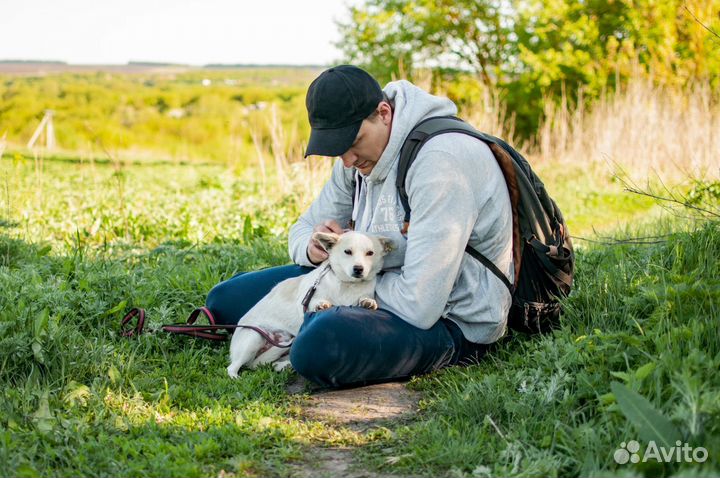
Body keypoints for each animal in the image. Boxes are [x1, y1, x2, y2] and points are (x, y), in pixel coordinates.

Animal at [226, 230, 390, 380]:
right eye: (347, 252)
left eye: (370, 253)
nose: (358, 269)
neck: (348, 285)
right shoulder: (307, 297)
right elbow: (315, 301)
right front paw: (320, 304)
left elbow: (366, 297)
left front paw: (368, 302)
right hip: (254, 337)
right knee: (232, 367)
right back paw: (237, 378)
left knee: (274, 362)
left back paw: (283, 366)